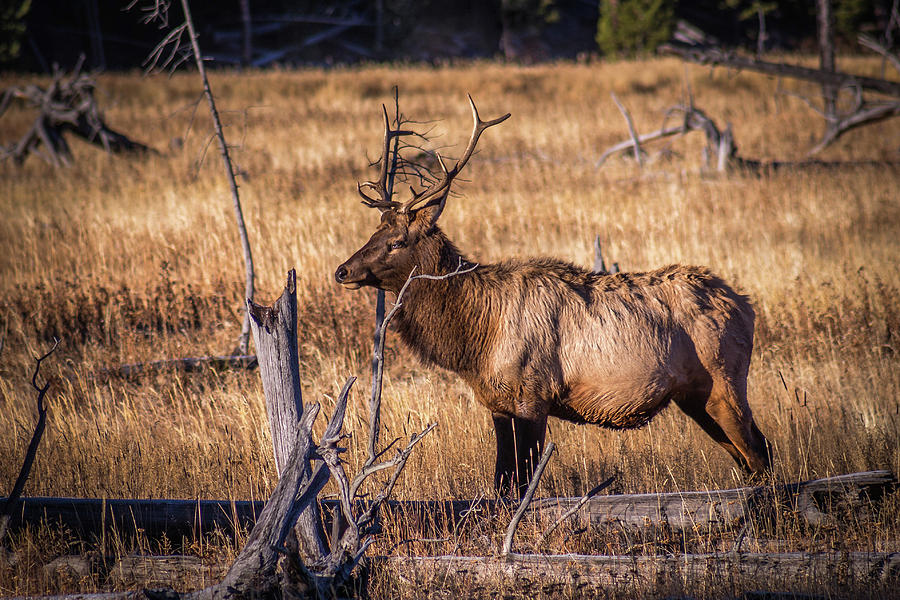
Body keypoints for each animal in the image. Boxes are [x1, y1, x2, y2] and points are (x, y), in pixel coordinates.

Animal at [334, 97, 768, 496]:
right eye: (373, 232)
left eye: (396, 241)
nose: (342, 270)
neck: (476, 338)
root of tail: (745, 304)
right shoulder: (498, 404)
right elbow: (502, 482)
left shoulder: (533, 396)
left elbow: (523, 481)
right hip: (693, 397)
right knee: (749, 456)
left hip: (725, 381)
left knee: (759, 452)